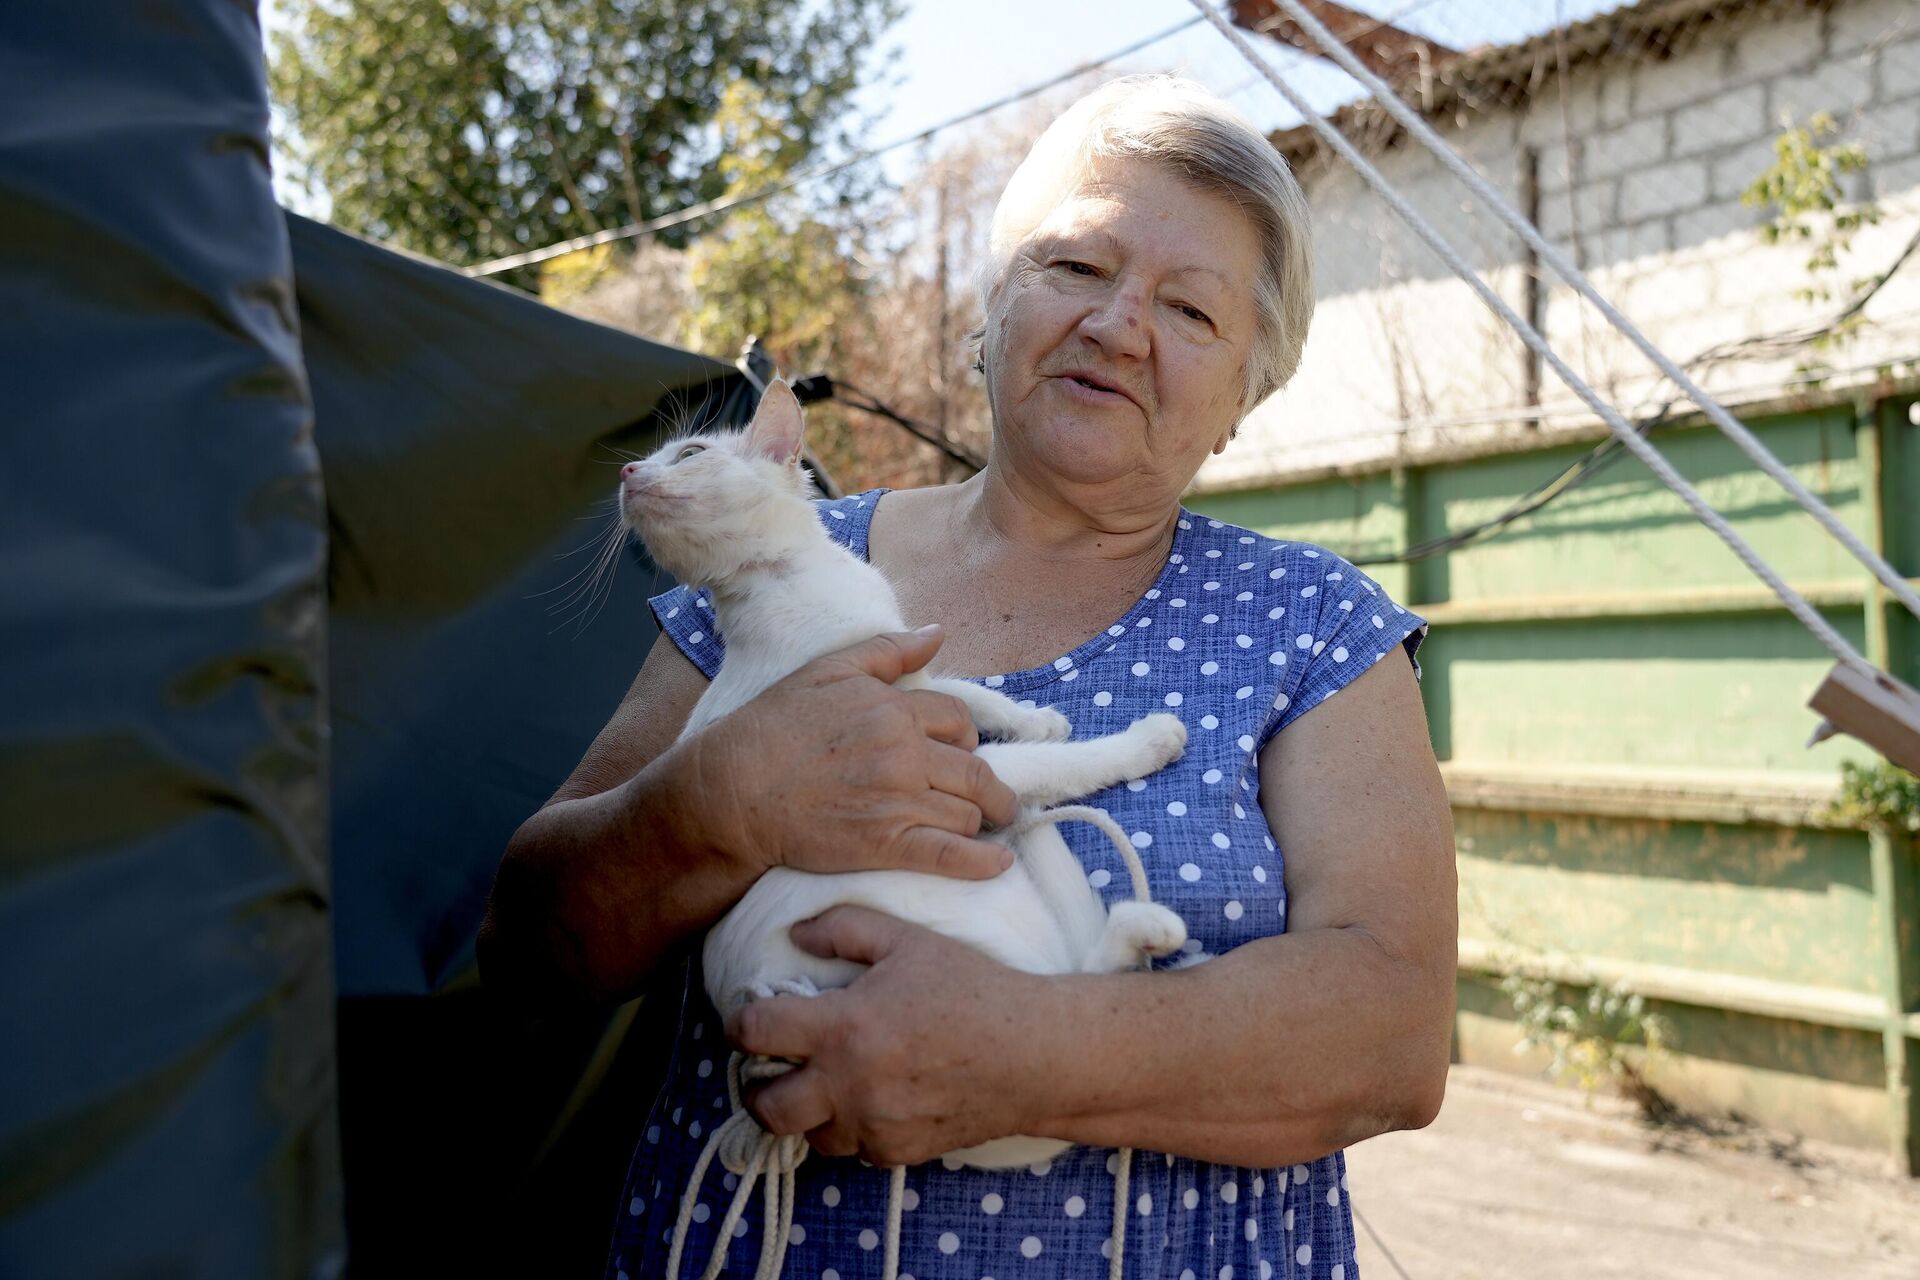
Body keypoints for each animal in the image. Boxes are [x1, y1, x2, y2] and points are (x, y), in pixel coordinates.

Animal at [618, 379, 1182, 1174]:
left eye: (690, 453)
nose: (627, 473)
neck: (783, 586)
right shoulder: (926, 745)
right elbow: (1046, 762)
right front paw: (1138, 741)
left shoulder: (908, 669)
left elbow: (959, 687)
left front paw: (1032, 715)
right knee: (1057, 1008)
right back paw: (1141, 924)